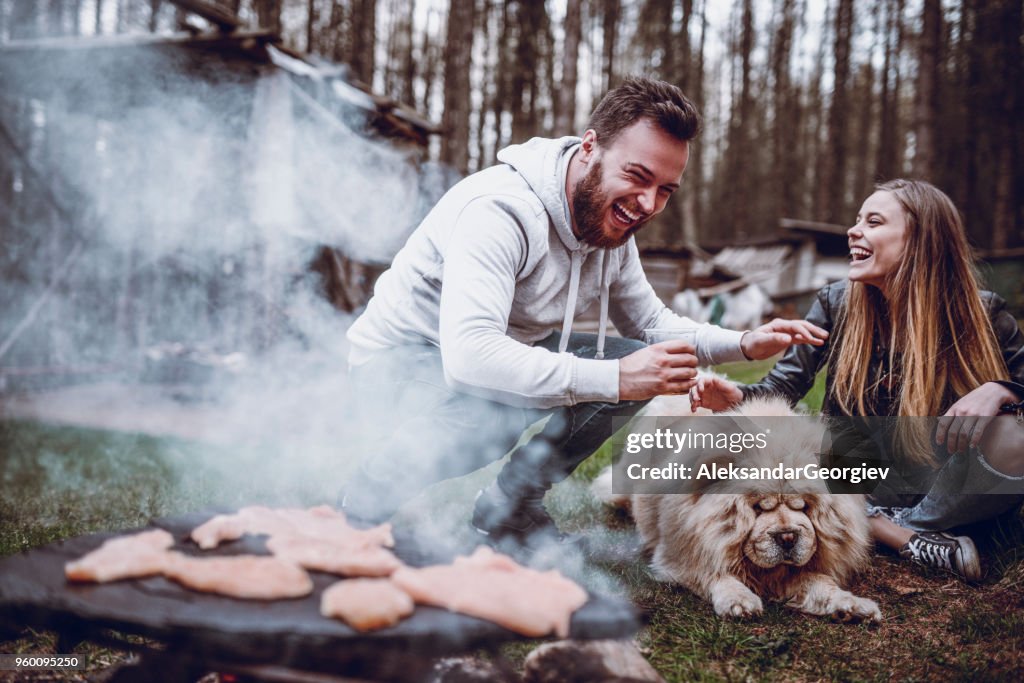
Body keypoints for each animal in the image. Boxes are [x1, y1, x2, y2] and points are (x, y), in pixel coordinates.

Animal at [598, 395, 884, 626]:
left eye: (803, 506)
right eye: (758, 507)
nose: (787, 537)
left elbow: (822, 585)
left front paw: (853, 607)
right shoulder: (682, 555)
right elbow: (715, 573)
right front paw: (739, 601)